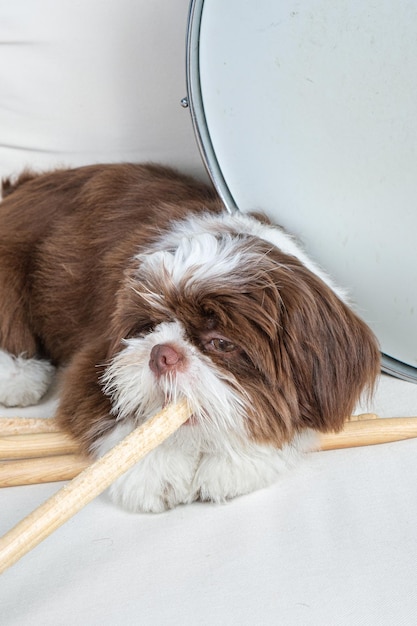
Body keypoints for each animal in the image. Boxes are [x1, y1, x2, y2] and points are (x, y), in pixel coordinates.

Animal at [0, 163, 378, 510]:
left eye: (221, 343)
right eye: (149, 327)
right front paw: (157, 471)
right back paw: (18, 376)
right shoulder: (96, 362)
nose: (162, 353)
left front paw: (231, 465)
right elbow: (119, 422)